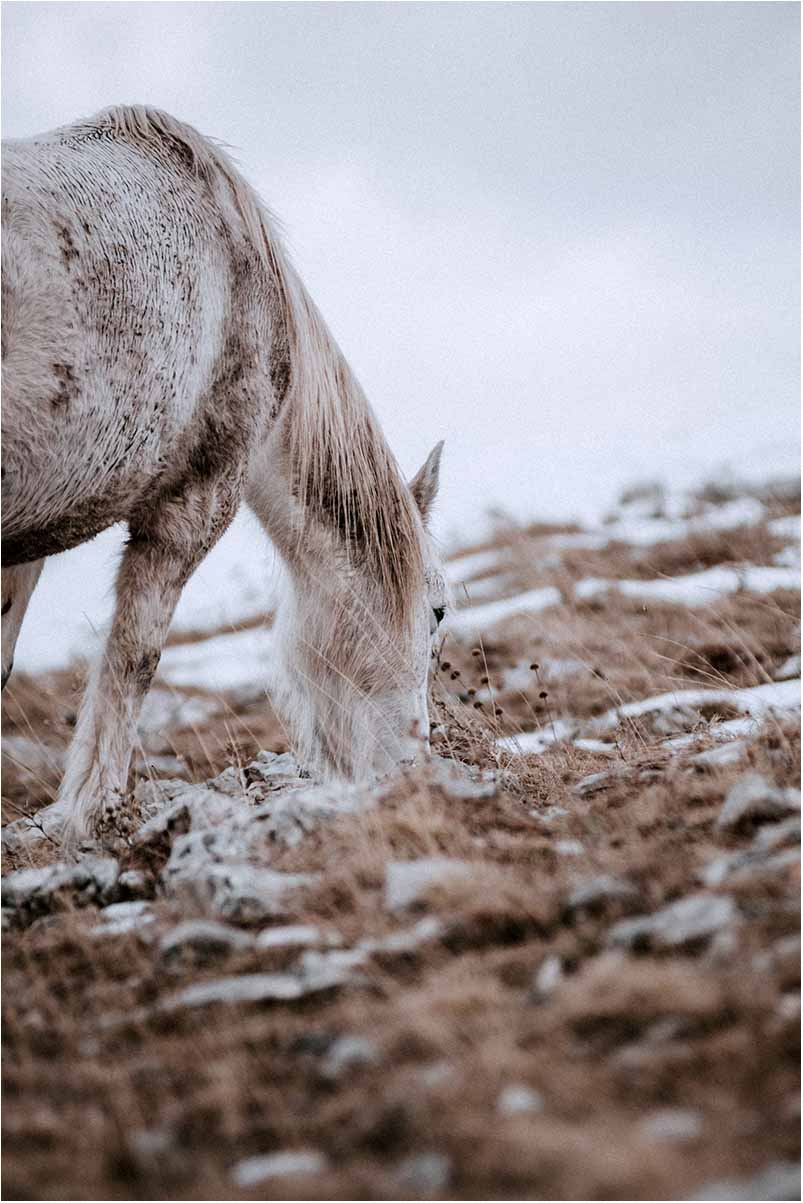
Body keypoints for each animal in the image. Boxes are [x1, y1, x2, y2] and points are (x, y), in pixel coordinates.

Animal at [0, 108, 450, 851]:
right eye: (438, 611)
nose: (416, 765)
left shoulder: (29, 537)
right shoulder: (194, 500)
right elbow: (134, 660)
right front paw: (93, 816)